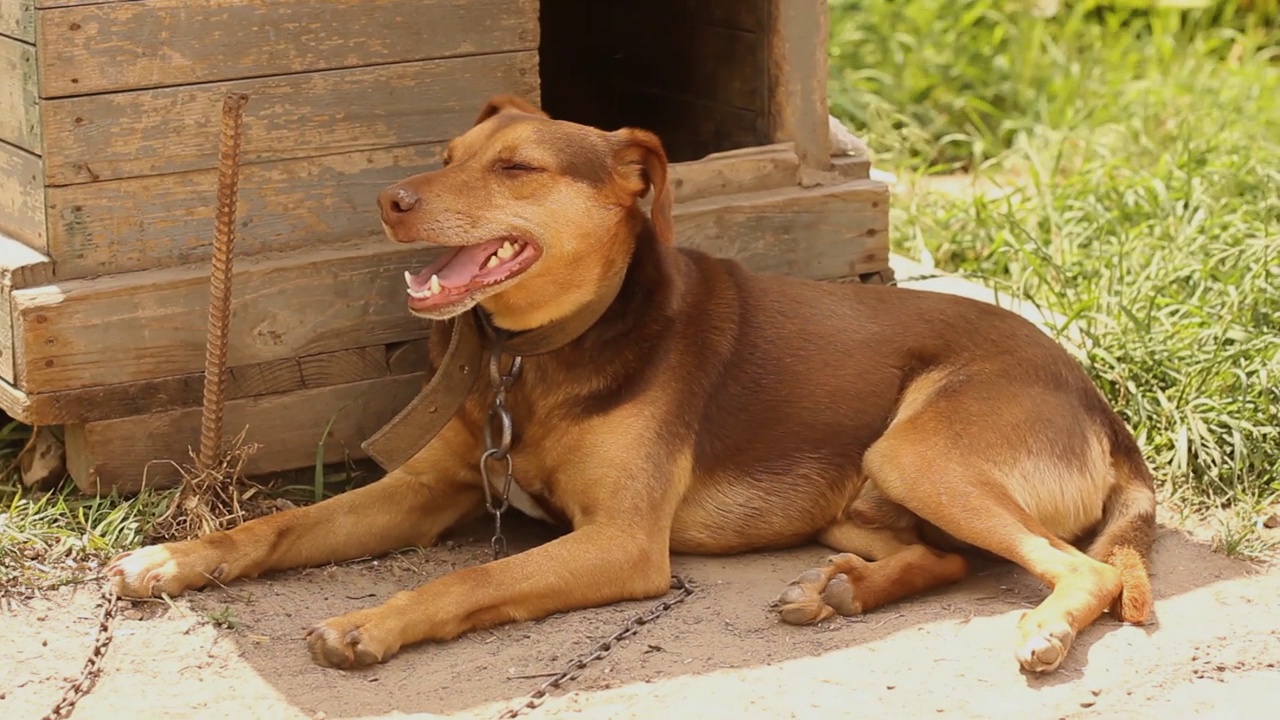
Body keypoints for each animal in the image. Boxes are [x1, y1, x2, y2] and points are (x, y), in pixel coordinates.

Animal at [104, 95, 1157, 671]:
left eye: (517, 167)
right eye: (445, 159)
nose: (389, 199)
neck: (536, 357)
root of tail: (1106, 414)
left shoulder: (621, 543)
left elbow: (477, 575)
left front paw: (370, 623)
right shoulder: (421, 492)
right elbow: (272, 529)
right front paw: (172, 560)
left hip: (918, 451)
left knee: (1089, 569)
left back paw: (1040, 632)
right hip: (863, 498)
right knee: (955, 559)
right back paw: (840, 595)